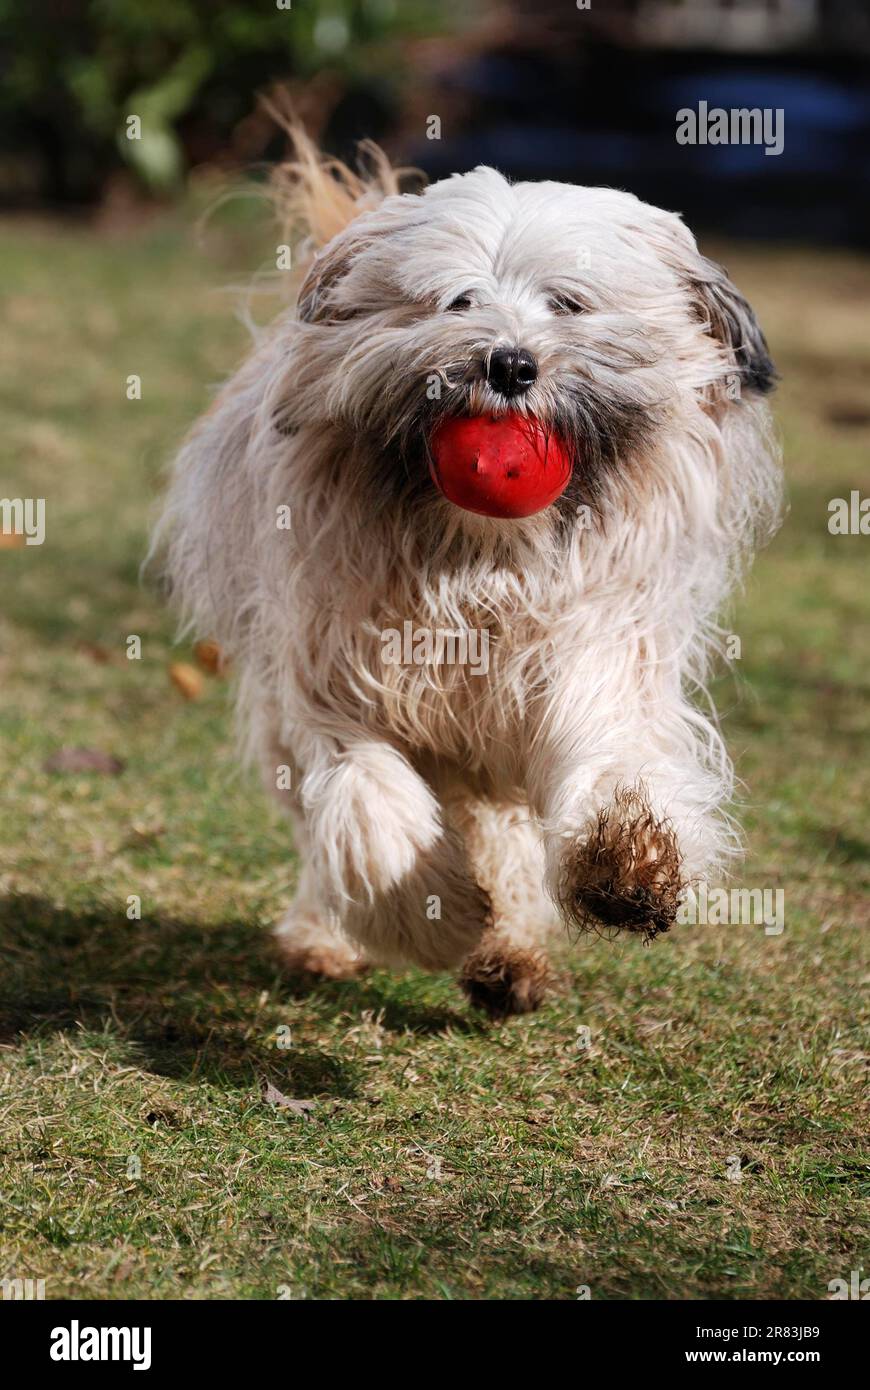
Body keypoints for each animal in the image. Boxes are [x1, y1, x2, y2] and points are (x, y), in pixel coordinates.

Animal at [155, 135, 778, 1017]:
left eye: (569, 303)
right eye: (457, 301)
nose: (509, 365)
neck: (482, 561)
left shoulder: (588, 656)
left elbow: (606, 752)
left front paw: (623, 860)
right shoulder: (331, 681)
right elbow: (367, 801)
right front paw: (432, 912)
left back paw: (509, 953)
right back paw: (335, 937)